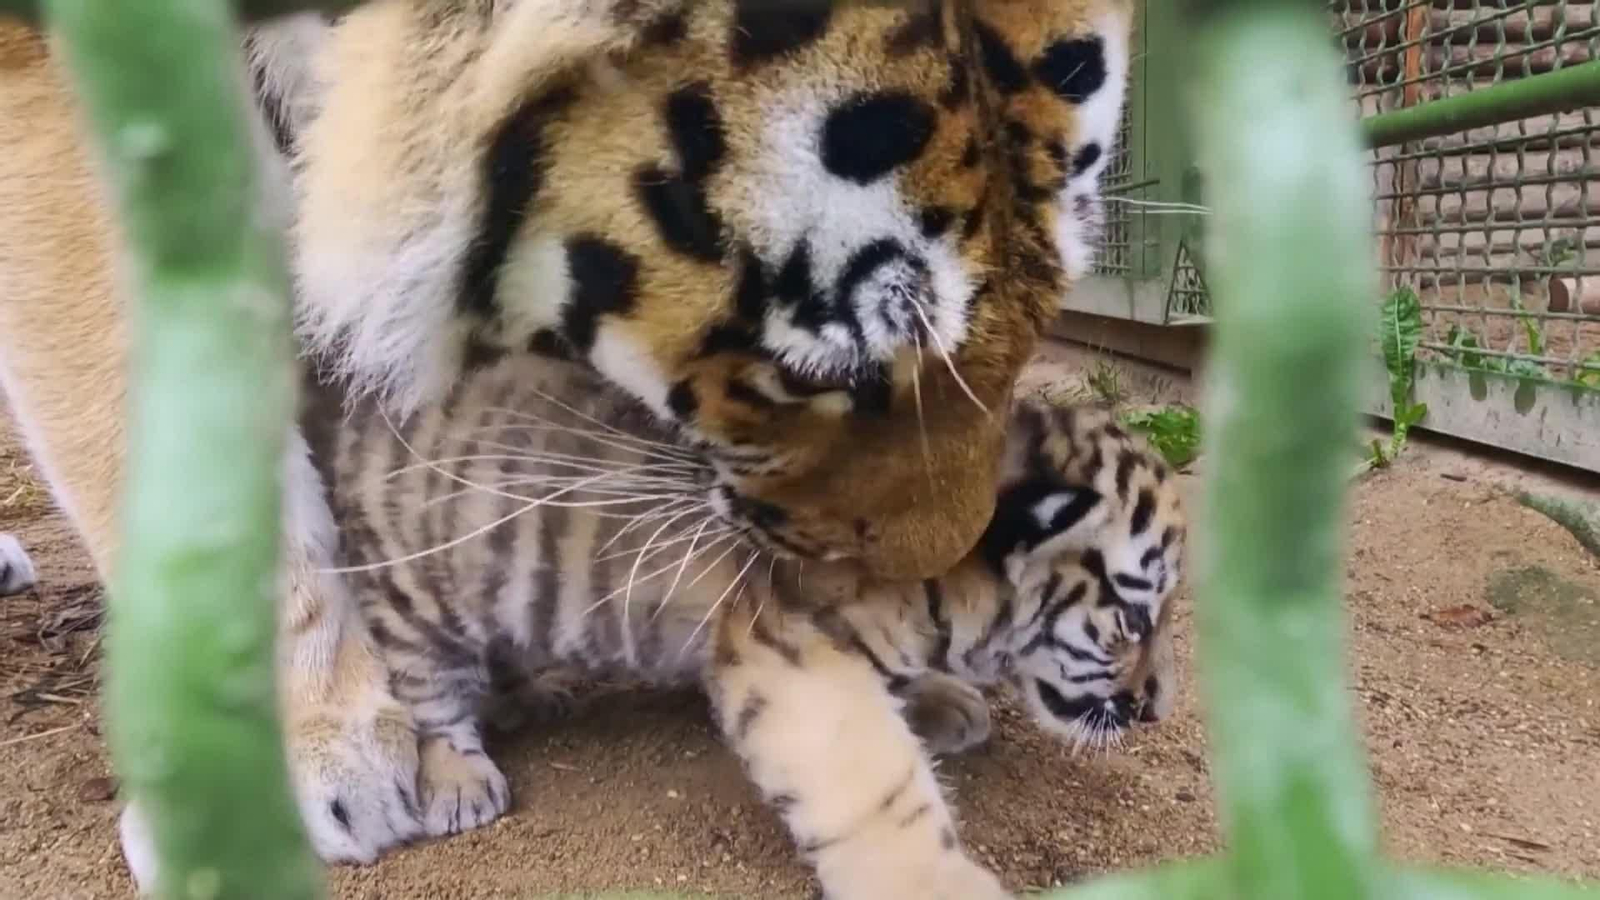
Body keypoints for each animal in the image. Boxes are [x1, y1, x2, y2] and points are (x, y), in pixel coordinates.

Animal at [310, 351, 1186, 899]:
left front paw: (941, 702)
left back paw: (532, 693)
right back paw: (460, 778)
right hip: (415, 588)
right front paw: (942, 886)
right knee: (427, 691)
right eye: (1132, 618)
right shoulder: (789, 650)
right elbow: (881, 787)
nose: (1159, 706)